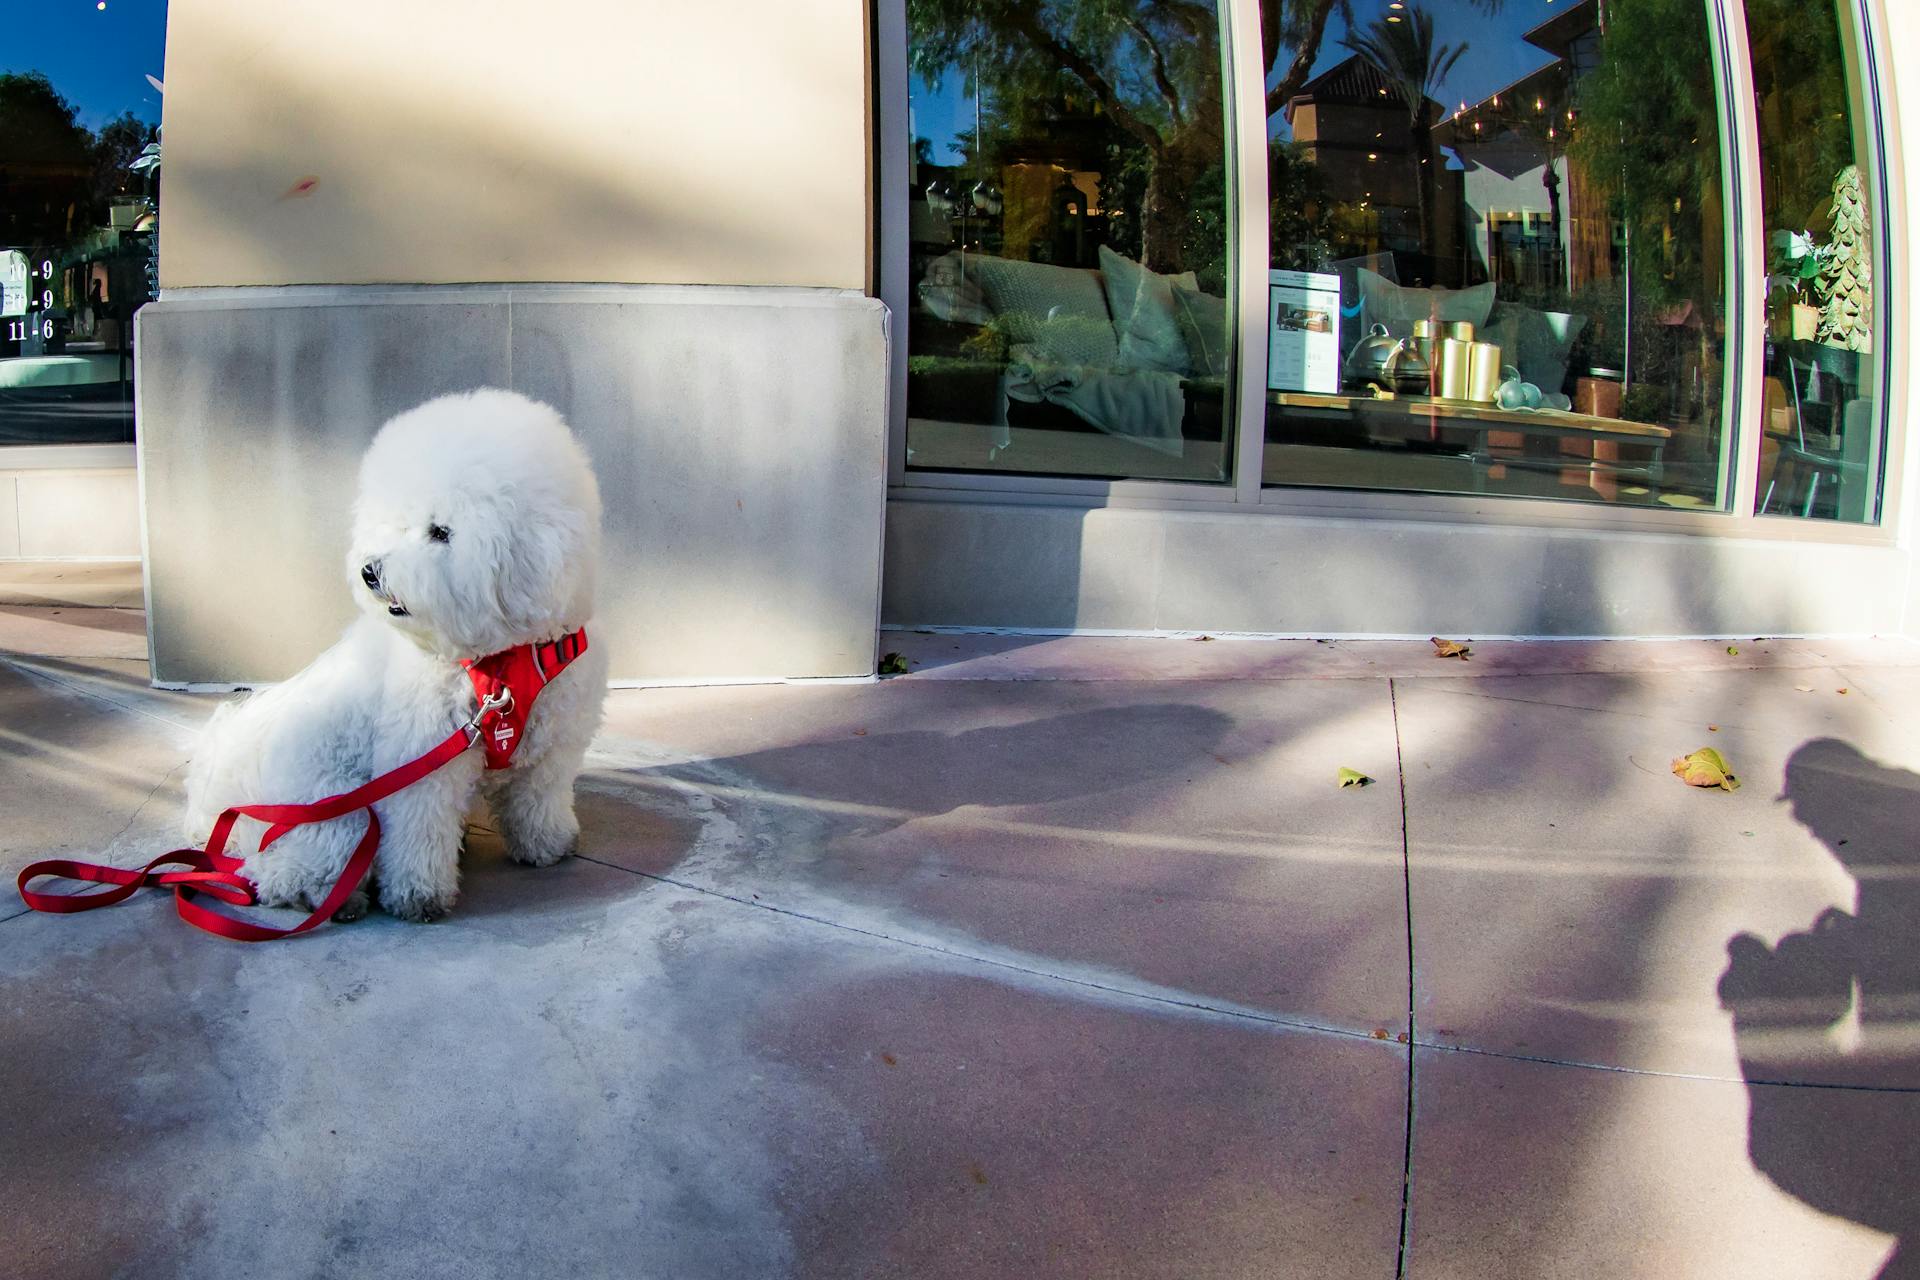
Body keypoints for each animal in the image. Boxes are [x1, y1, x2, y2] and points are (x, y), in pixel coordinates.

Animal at [186, 387, 606, 921]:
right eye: (395, 522)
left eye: (440, 532)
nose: (370, 571)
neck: (499, 661)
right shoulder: (421, 760)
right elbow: (418, 834)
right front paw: (418, 894)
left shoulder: (553, 746)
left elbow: (539, 798)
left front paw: (547, 844)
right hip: (334, 806)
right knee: (284, 869)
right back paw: (326, 896)